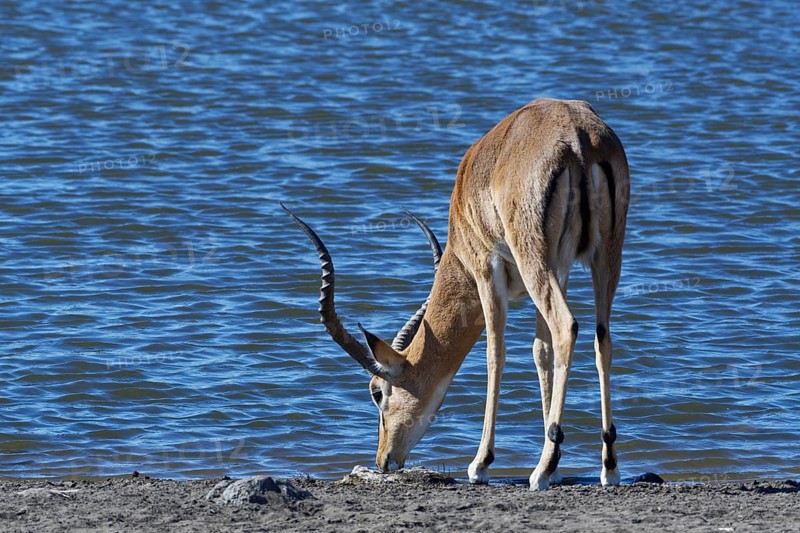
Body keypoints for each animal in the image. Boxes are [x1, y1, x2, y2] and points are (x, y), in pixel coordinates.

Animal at [283, 98, 630, 490]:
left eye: (377, 391)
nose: (384, 460)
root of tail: (577, 138)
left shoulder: (484, 268)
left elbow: (495, 353)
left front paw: (481, 464)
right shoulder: (562, 267)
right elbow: (541, 352)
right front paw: (555, 462)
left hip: (535, 258)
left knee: (566, 326)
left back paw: (542, 468)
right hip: (604, 256)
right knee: (601, 338)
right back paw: (606, 466)